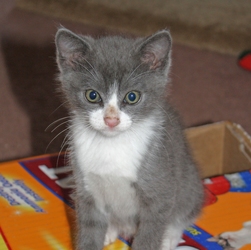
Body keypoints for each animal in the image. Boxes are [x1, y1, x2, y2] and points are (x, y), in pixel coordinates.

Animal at [55, 27, 204, 250]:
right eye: (92, 95)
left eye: (132, 97)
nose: (111, 120)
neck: (111, 145)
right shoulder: (86, 188)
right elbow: (90, 226)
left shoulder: (159, 189)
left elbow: (151, 231)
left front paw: (160, 238)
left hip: (190, 184)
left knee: (185, 210)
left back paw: (169, 236)